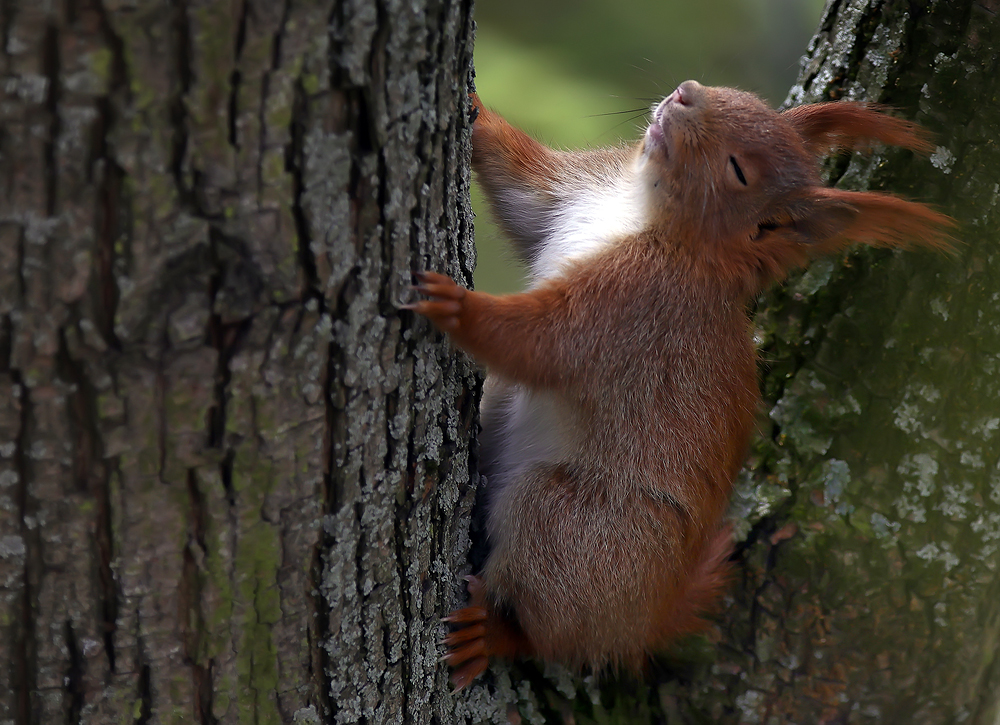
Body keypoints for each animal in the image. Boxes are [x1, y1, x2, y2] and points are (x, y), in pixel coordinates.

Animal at [406, 80, 952, 692]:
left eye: (738, 170)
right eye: (734, 94)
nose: (687, 92)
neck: (640, 213)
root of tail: (648, 619)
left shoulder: (636, 310)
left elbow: (540, 342)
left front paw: (456, 306)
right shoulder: (571, 193)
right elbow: (520, 184)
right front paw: (475, 110)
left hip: (578, 530)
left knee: (553, 630)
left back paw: (495, 632)